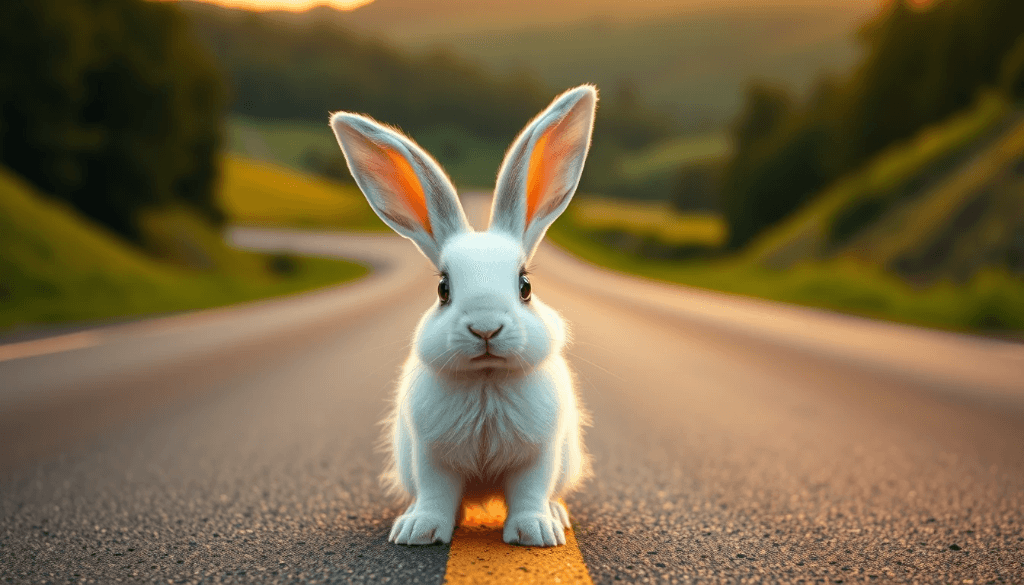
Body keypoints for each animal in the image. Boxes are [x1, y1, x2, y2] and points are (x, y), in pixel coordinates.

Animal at [329, 85, 597, 547]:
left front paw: (535, 533)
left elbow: (529, 491)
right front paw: (418, 532)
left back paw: (556, 516)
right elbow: (436, 493)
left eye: (525, 286)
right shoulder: (431, 456)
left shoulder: (537, 454)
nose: (485, 328)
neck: (486, 379)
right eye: (443, 289)